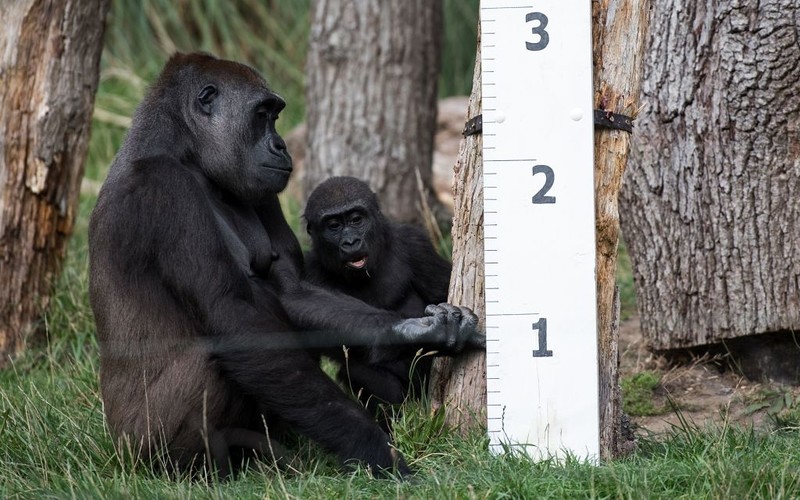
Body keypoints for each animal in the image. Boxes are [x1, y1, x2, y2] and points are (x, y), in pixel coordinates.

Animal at [304, 176, 456, 422]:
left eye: (356, 220)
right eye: (334, 226)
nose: (350, 242)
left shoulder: (415, 244)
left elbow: (441, 292)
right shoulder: (309, 272)